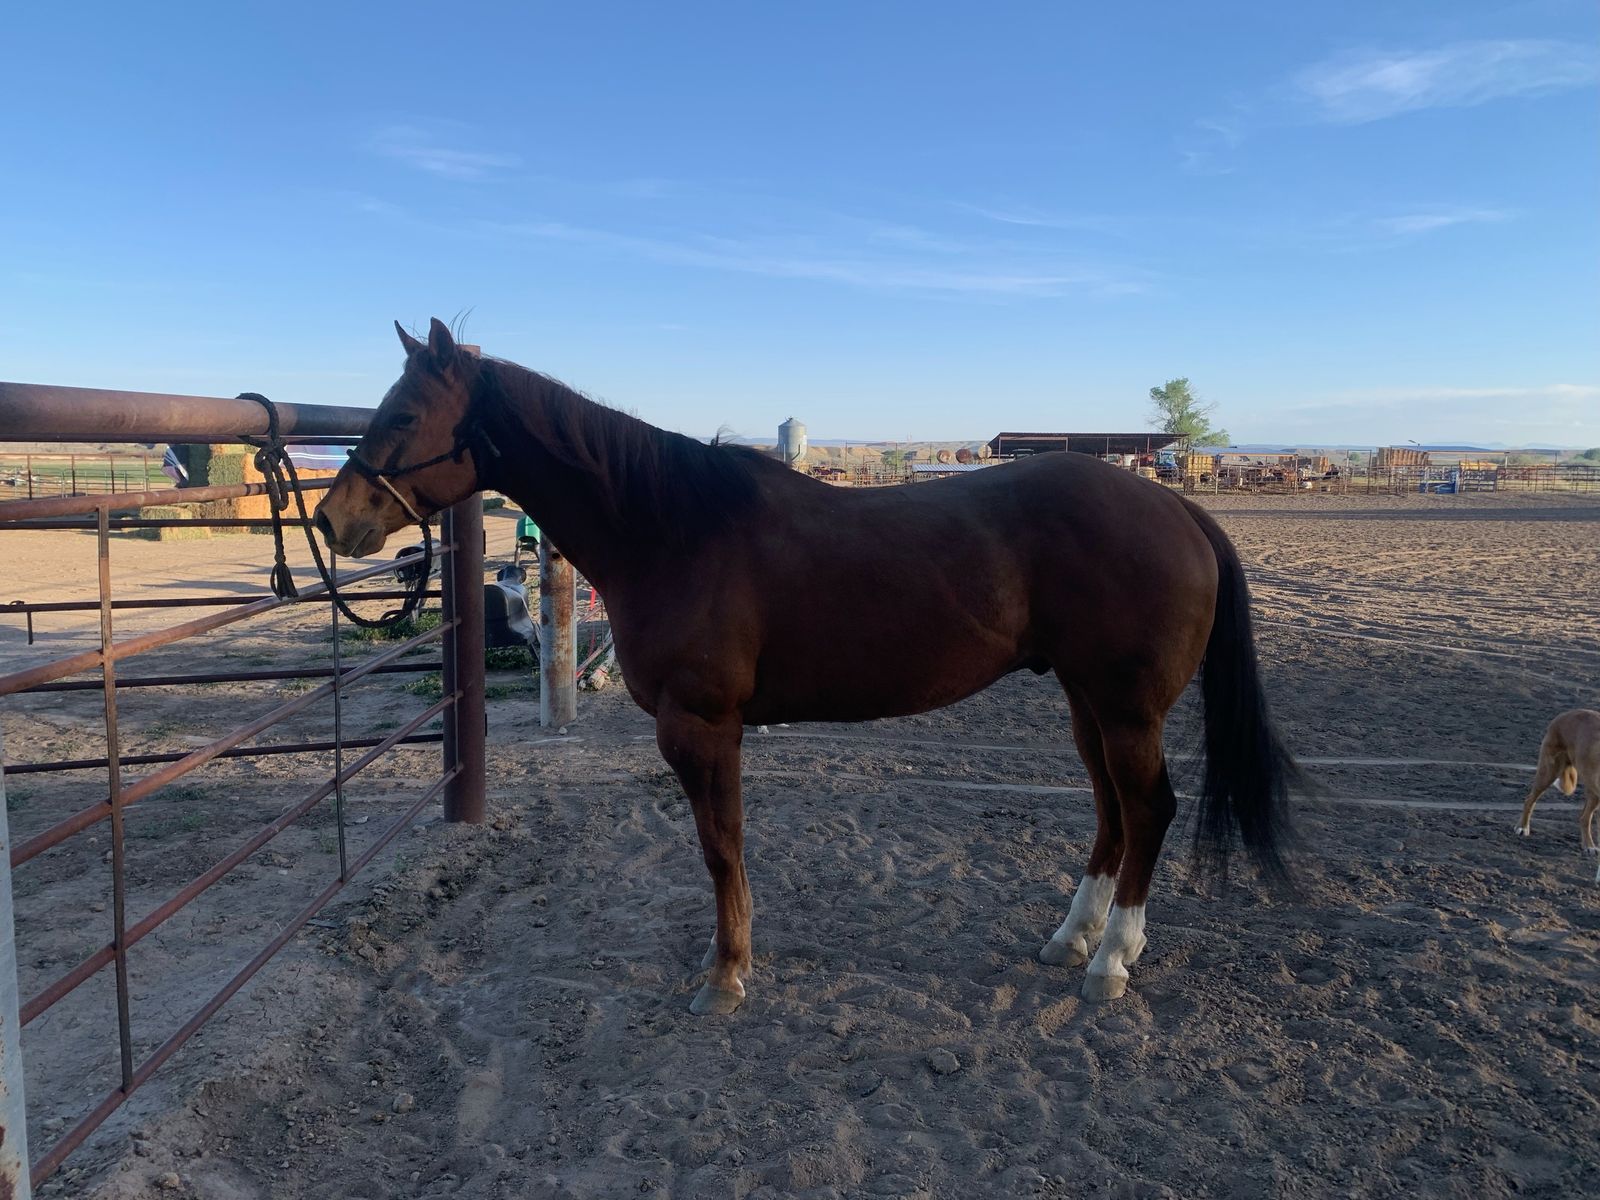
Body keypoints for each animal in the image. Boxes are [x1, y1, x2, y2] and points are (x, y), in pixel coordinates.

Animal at [313, 318, 1297, 1015]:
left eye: (403, 415)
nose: (331, 519)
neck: (671, 528)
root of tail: (1178, 509)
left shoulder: (700, 728)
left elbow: (721, 851)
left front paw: (725, 976)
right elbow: (728, 849)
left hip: (1125, 708)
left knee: (1150, 810)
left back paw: (1111, 965)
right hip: (1087, 702)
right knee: (1111, 813)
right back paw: (1074, 939)